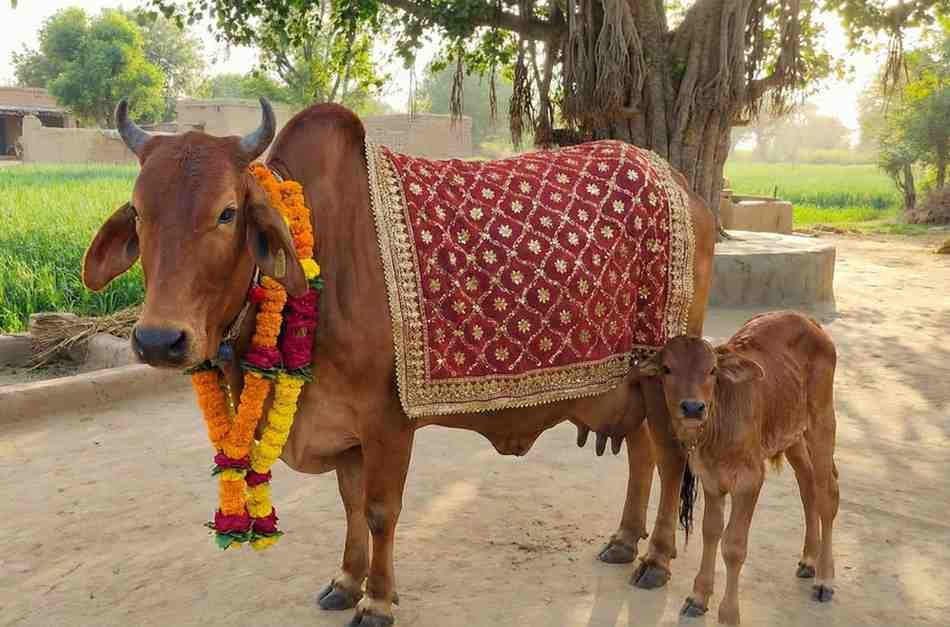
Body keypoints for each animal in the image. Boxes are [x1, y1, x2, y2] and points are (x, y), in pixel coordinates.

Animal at [82, 98, 716, 626]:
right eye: (137, 212)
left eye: (227, 213)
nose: (159, 340)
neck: (323, 256)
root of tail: (682, 185)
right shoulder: (341, 425)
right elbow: (350, 505)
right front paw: (345, 581)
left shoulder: (388, 422)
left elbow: (380, 510)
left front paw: (378, 601)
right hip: (631, 382)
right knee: (641, 454)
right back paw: (624, 541)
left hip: (664, 375)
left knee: (668, 460)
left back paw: (656, 559)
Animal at [640, 311, 839, 625]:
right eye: (667, 369)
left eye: (712, 370)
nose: (693, 408)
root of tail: (808, 320)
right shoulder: (711, 479)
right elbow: (711, 532)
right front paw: (698, 597)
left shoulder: (749, 480)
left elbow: (733, 545)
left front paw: (729, 613)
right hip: (791, 434)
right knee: (807, 486)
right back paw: (809, 559)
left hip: (822, 422)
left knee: (827, 494)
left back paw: (824, 579)